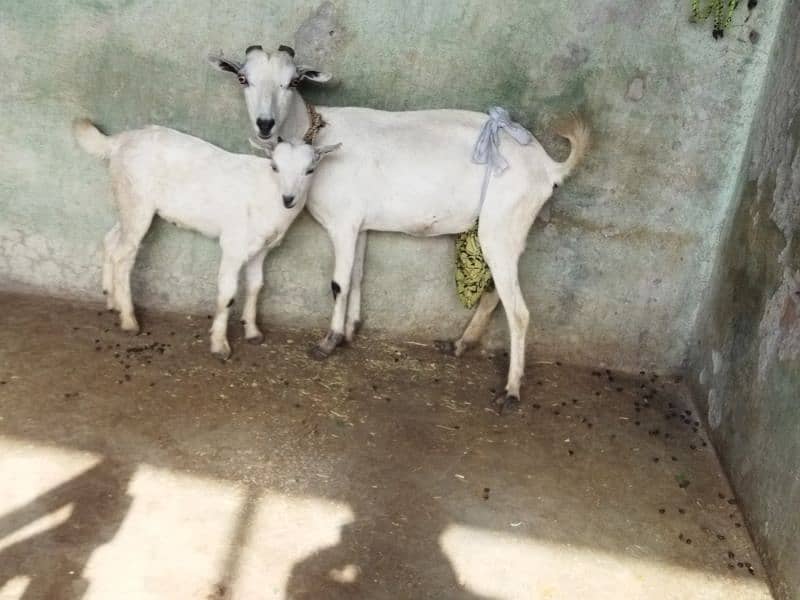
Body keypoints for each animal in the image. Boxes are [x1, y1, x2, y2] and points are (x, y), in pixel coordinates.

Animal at [72, 119, 340, 358]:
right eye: (274, 166)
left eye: (310, 170)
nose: (288, 199)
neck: (267, 192)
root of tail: (119, 141)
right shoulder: (233, 244)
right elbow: (228, 293)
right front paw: (220, 345)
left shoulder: (261, 249)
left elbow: (256, 286)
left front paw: (253, 332)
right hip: (136, 198)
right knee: (123, 255)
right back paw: (129, 320)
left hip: (127, 202)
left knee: (111, 240)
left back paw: (111, 300)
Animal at [211, 45, 588, 412]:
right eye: (243, 79)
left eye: (292, 81)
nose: (265, 124)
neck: (321, 136)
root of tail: (548, 166)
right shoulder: (360, 225)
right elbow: (357, 276)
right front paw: (351, 330)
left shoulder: (343, 221)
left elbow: (338, 283)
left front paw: (329, 341)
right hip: (505, 232)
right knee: (496, 293)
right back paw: (459, 344)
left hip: (502, 225)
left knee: (520, 312)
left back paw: (510, 391)